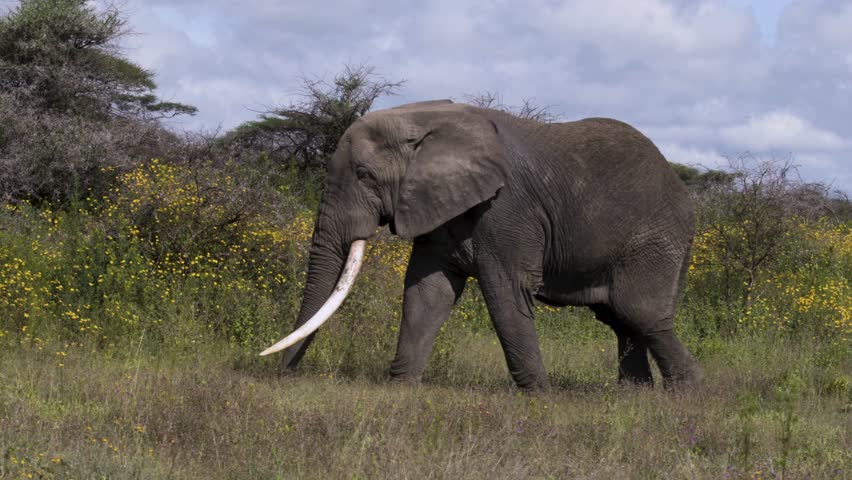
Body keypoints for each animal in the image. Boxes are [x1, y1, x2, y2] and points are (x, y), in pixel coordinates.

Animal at [261, 99, 703, 390]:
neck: (423, 118)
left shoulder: (508, 207)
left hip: (655, 238)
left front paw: (538, 396)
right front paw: (400, 388)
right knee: (619, 318)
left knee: (639, 311)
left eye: (365, 175)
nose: (284, 376)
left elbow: (505, 289)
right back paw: (635, 395)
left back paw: (686, 393)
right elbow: (427, 291)